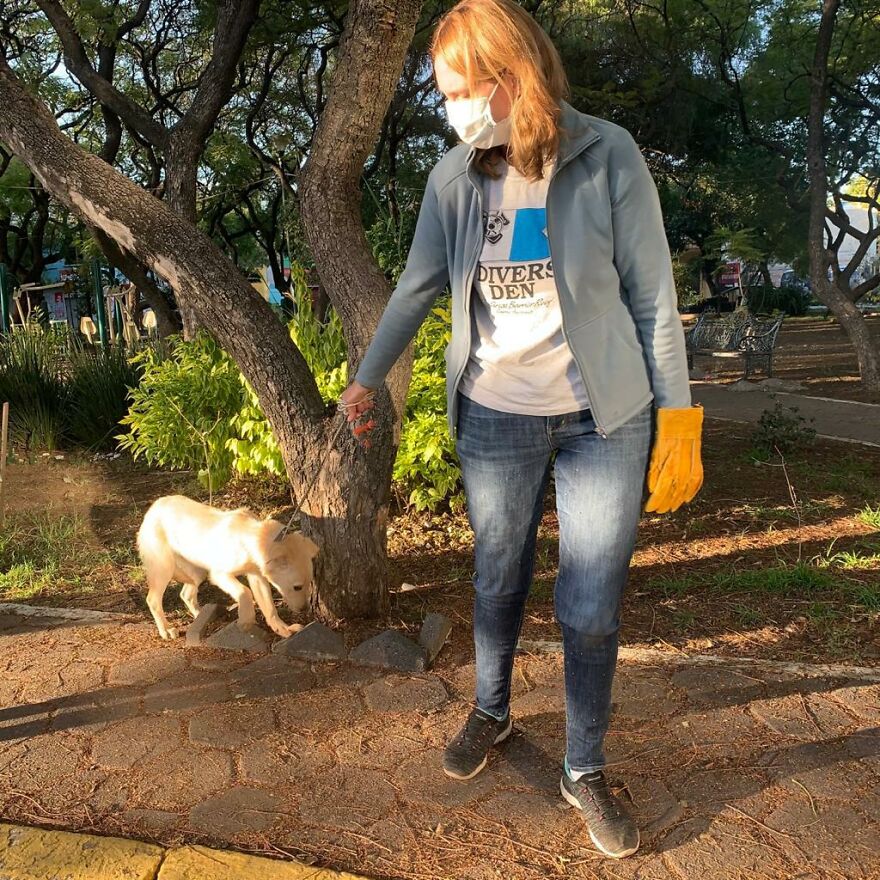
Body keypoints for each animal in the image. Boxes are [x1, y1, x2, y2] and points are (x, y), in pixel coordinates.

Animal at [136, 496, 318, 640]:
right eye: (297, 587)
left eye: (310, 583)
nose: (304, 609)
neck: (250, 537)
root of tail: (153, 507)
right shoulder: (219, 575)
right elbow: (245, 592)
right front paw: (246, 619)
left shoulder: (257, 577)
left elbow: (269, 607)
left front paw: (282, 629)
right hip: (164, 568)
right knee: (153, 599)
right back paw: (166, 630)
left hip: (197, 571)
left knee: (186, 594)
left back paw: (201, 617)